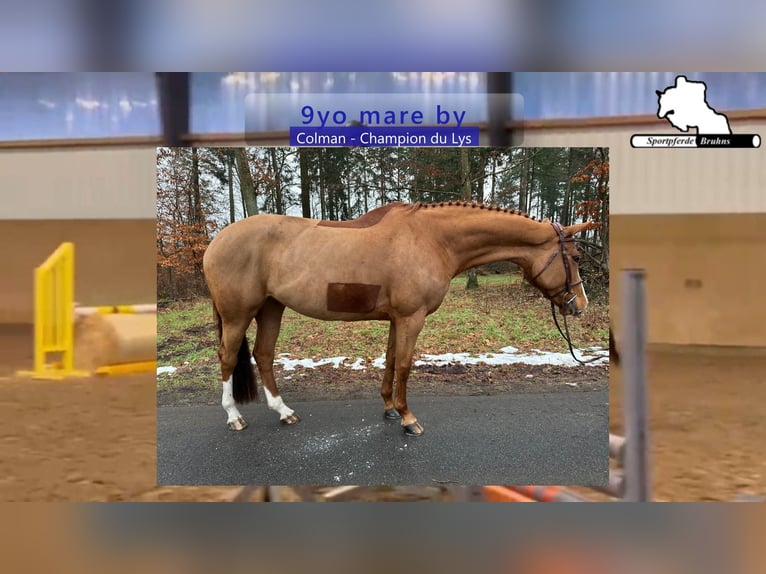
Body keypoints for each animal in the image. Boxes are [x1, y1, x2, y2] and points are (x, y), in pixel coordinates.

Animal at [202, 201, 596, 437]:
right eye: (576, 258)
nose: (580, 305)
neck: (434, 239)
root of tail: (216, 241)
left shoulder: (397, 319)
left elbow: (391, 360)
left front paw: (390, 408)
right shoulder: (411, 317)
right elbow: (405, 364)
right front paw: (408, 418)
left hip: (271, 307)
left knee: (264, 355)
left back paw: (283, 411)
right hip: (238, 314)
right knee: (227, 358)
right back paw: (234, 416)